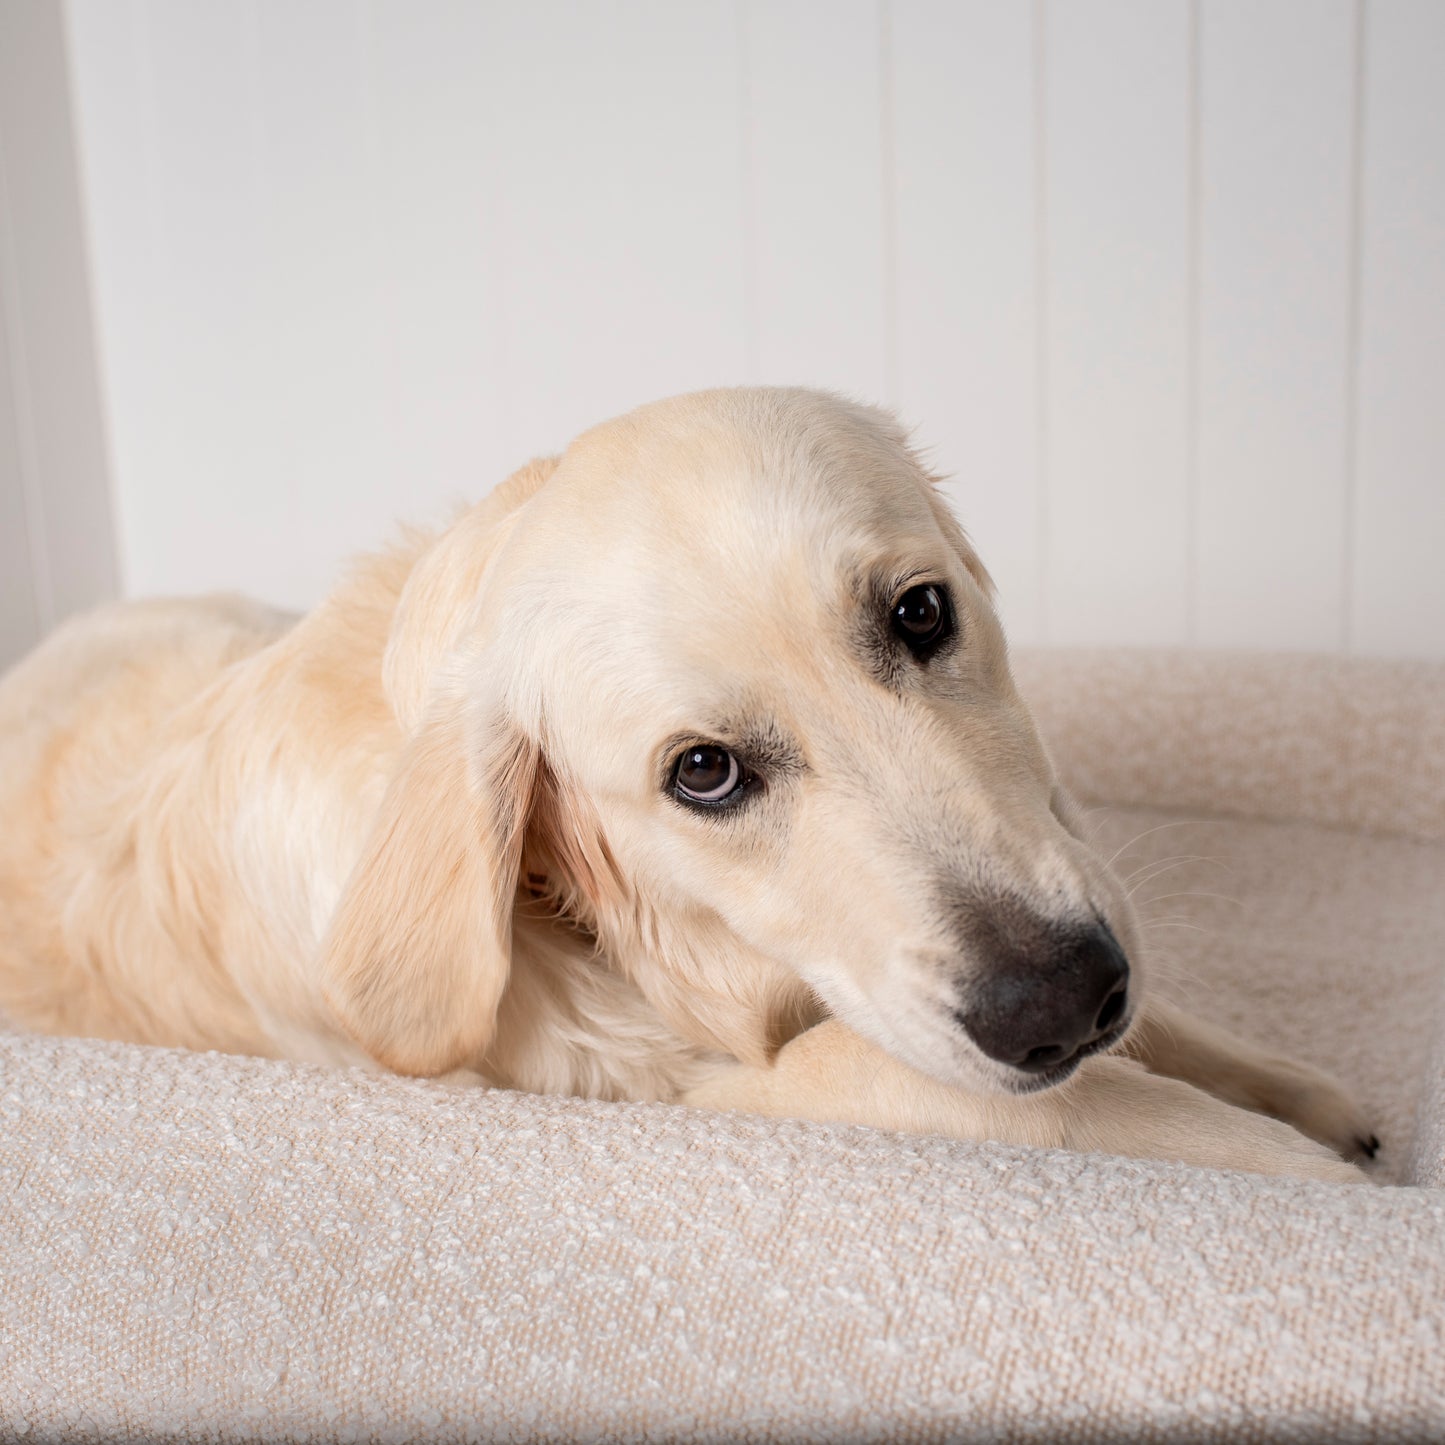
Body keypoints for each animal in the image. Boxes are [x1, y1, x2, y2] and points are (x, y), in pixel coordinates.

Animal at [0, 390, 1369, 1179]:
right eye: (703, 772)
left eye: (921, 613)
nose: (1063, 998)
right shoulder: (686, 1089)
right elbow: (972, 1091)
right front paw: (1301, 1163)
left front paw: (1295, 1088)